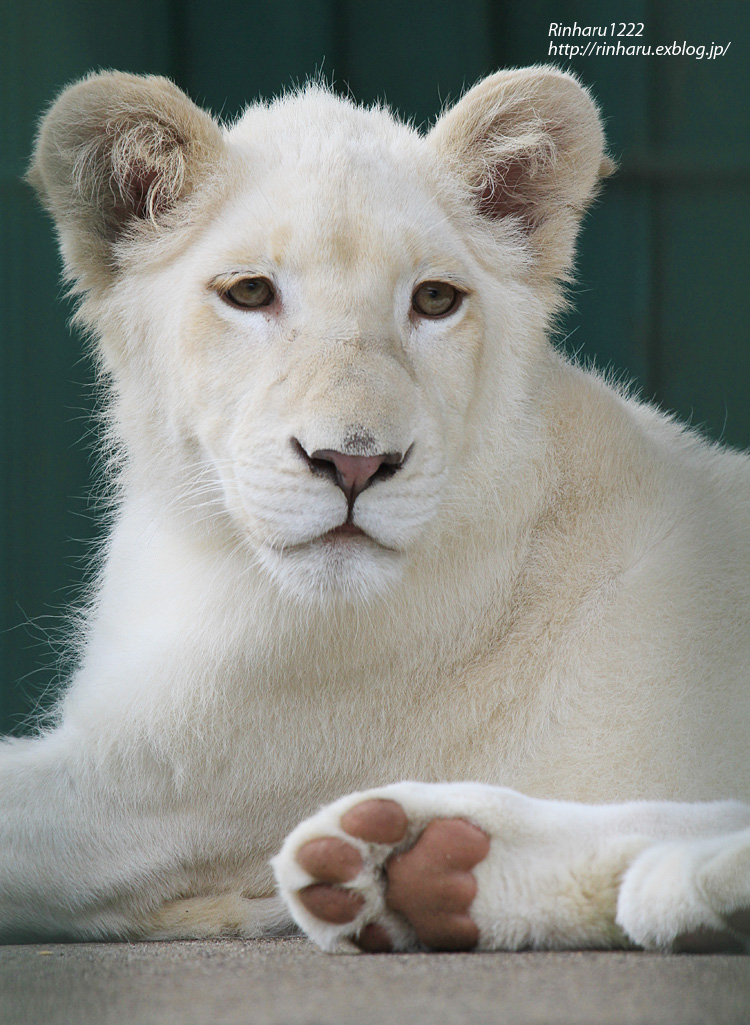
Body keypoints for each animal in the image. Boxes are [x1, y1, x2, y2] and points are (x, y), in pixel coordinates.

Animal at [2, 66, 745, 951]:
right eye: (249, 292)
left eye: (435, 298)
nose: (355, 463)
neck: (203, 542)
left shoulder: (155, 791)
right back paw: (428, 863)